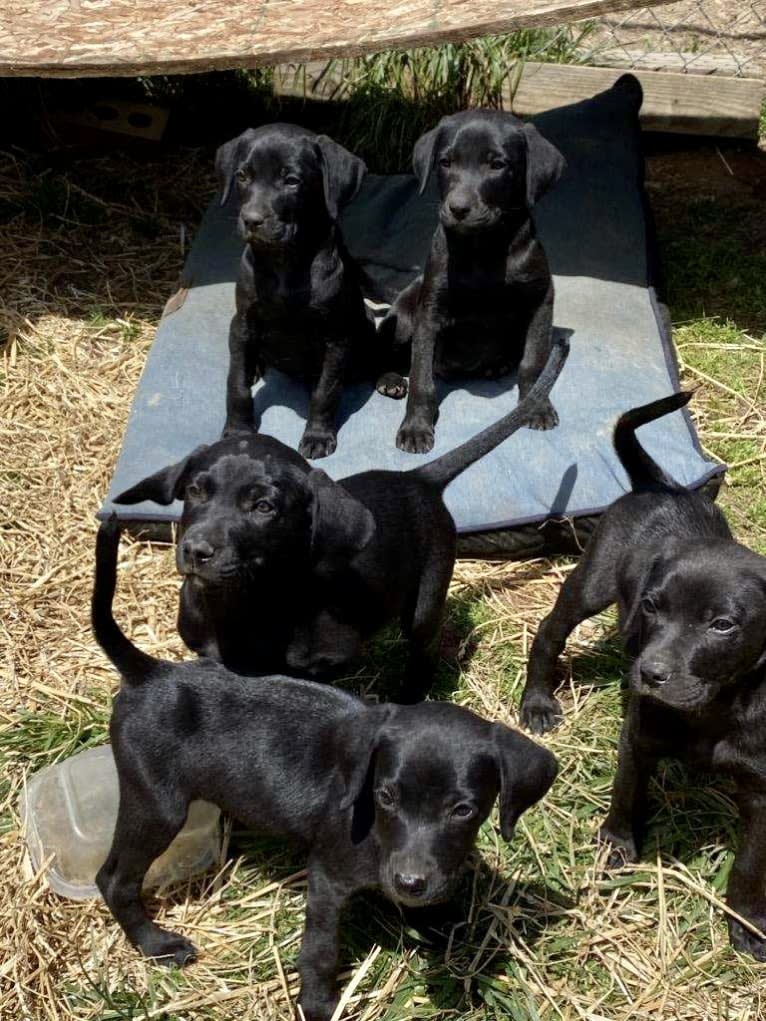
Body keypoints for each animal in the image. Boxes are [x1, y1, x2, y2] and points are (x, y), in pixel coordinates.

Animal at [91, 518, 559, 1021]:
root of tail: (150, 673)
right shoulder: (327, 880)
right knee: (114, 879)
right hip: (156, 805)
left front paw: (431, 917)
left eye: (464, 811)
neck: (375, 832)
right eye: (386, 796)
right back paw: (155, 944)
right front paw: (317, 1003)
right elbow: (320, 949)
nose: (409, 884)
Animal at [115, 338, 571, 698]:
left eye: (264, 508)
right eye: (195, 491)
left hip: (427, 595)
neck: (240, 601)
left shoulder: (331, 657)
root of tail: (418, 478)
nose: (196, 551)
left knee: (422, 651)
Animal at [217, 121, 404, 457]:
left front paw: (317, 435)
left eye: (292, 181)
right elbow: (236, 383)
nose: (251, 220)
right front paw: (238, 430)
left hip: (364, 323)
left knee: (372, 352)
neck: (285, 262)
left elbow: (325, 391)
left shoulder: (336, 336)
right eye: (242, 176)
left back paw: (390, 376)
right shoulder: (243, 322)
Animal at [384, 108, 571, 455]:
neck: (482, 247)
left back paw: (497, 364)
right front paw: (416, 427)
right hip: (404, 312)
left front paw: (536, 406)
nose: (458, 208)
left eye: (497, 165)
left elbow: (534, 361)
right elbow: (421, 377)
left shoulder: (541, 299)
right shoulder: (429, 310)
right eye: (446, 162)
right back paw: (389, 380)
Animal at [518, 387, 766, 955]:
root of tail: (659, 486)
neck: (715, 708)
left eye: (722, 624)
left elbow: (750, 864)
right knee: (549, 632)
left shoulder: (764, 790)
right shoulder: (639, 736)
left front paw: (746, 922)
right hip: (592, 580)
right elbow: (626, 791)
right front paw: (617, 844)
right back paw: (538, 702)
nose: (648, 674)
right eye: (652, 606)